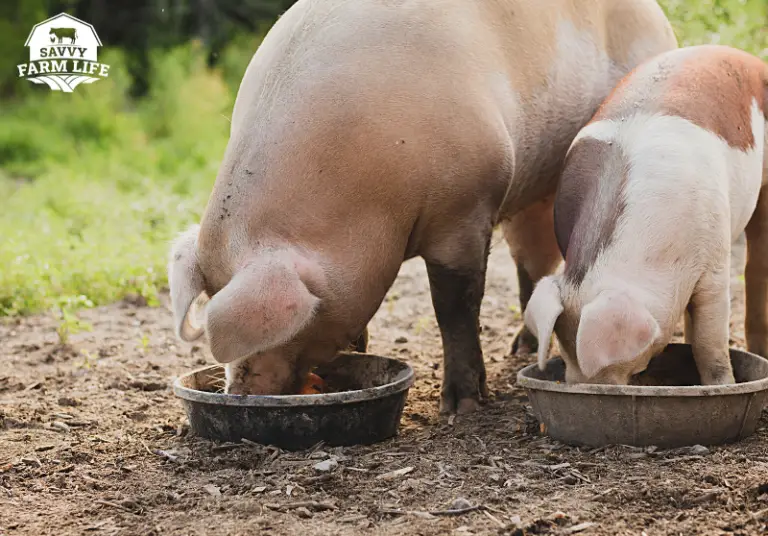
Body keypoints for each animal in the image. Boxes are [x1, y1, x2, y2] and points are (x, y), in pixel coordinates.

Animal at [168, 0, 677, 414]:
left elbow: (454, 305)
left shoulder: (466, 205)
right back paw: (520, 348)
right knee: (531, 264)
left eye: (294, 322)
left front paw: (462, 408)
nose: (241, 393)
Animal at [524, 45, 768, 386]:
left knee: (757, 263)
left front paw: (721, 385)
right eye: (567, 357)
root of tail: (747, 57)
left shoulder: (714, 263)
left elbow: (709, 341)